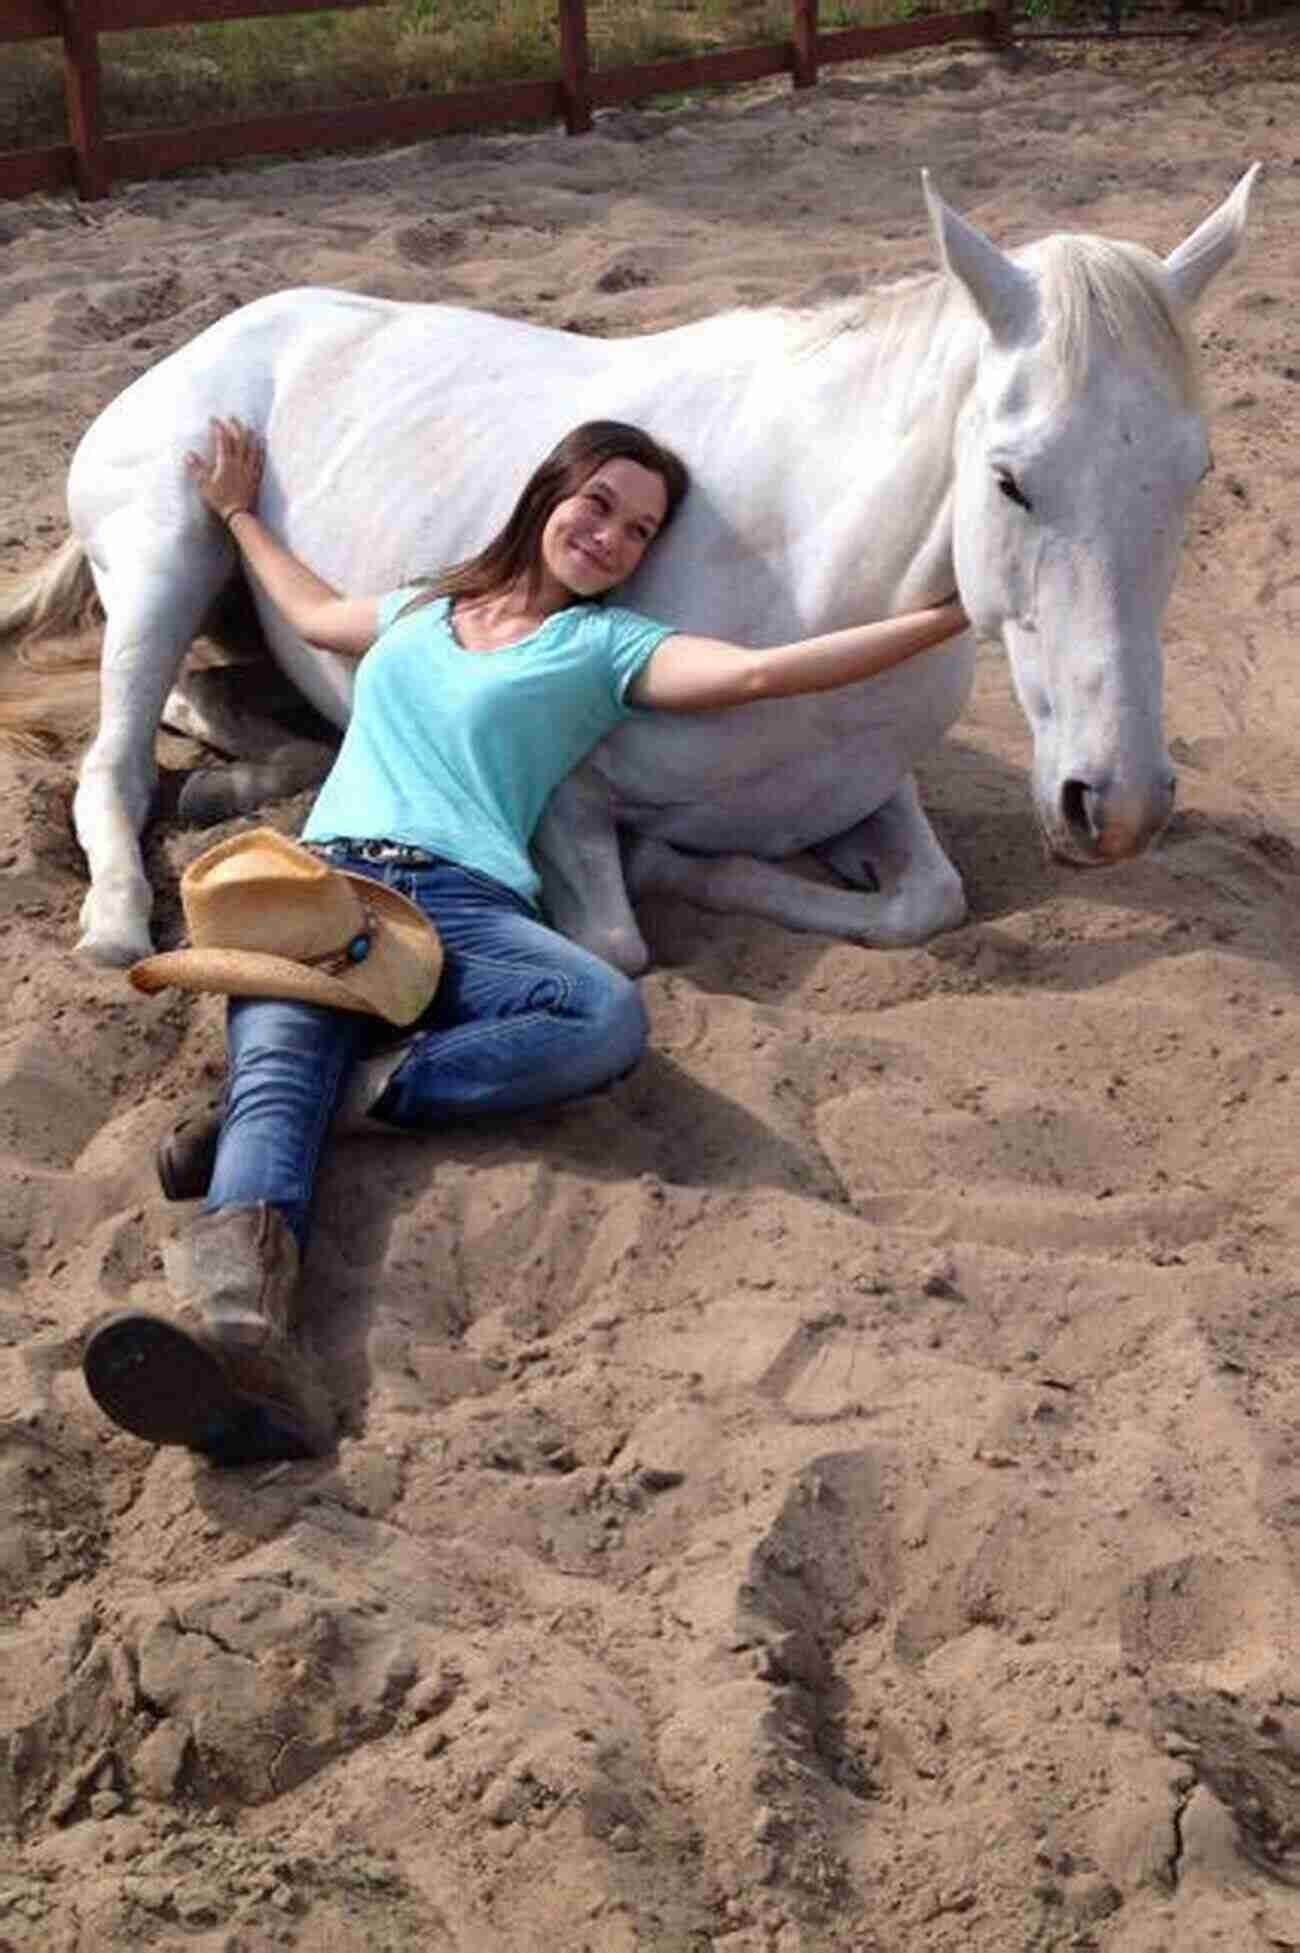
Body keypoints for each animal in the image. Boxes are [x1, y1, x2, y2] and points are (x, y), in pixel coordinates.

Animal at [0, 164, 1257, 972]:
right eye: (1009, 481)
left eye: (1192, 475)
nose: (1119, 807)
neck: (800, 585)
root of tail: (210, 337)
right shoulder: (568, 799)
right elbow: (619, 935)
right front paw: (674, 863)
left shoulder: (868, 790)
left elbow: (928, 903)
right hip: (169, 554)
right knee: (114, 765)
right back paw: (116, 921)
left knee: (216, 702)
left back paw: (240, 778)